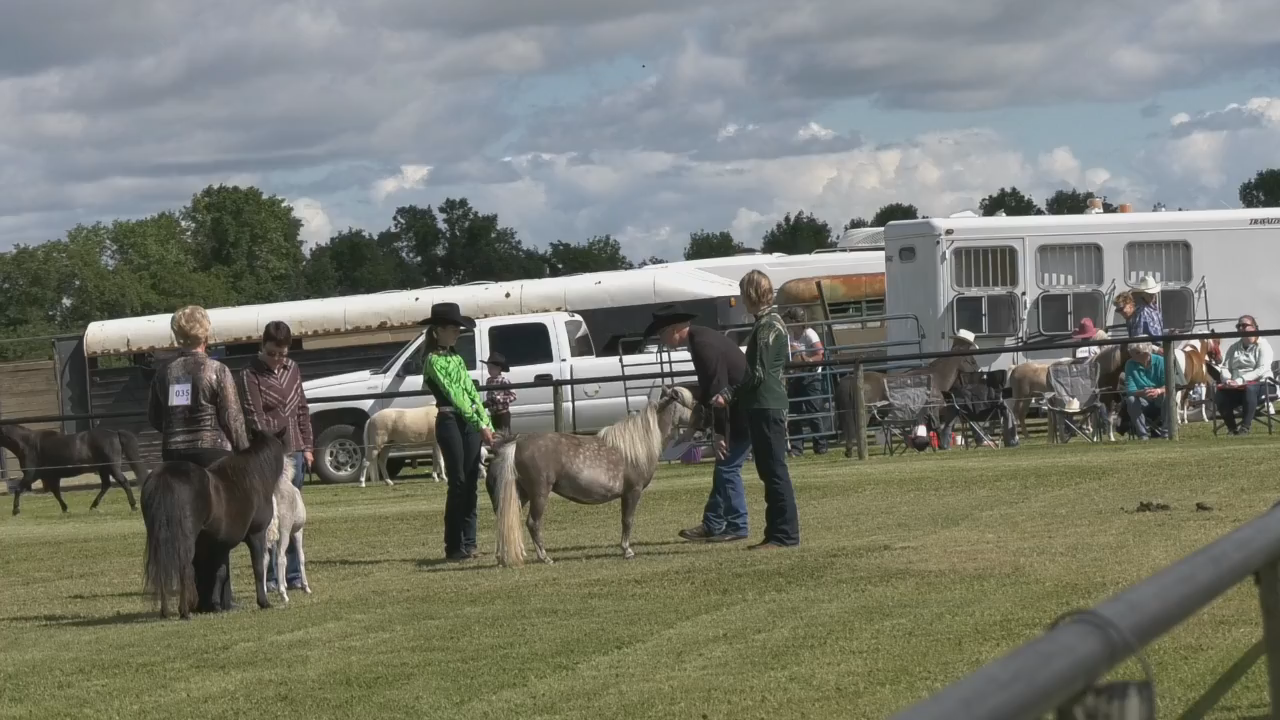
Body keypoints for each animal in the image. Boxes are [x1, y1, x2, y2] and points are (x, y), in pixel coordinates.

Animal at [0, 425, 149, 516]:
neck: (28, 444)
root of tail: (115, 434)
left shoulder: (31, 474)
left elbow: (18, 489)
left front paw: (15, 510)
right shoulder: (52, 476)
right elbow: (56, 493)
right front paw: (65, 509)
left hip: (112, 467)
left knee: (123, 482)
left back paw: (133, 506)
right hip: (103, 469)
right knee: (106, 485)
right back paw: (93, 506)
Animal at [141, 428, 290, 620]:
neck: (255, 475)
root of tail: (164, 476)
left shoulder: (221, 544)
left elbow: (220, 573)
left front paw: (216, 605)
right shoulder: (257, 534)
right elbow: (258, 567)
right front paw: (263, 602)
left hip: (158, 538)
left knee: (162, 568)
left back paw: (166, 611)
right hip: (184, 540)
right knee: (184, 568)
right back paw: (184, 611)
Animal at [264, 467, 311, 605]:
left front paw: (284, 583)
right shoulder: (297, 532)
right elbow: (300, 556)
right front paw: (306, 587)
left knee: (265, 558)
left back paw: (264, 591)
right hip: (285, 532)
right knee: (280, 557)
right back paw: (283, 595)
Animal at [488, 386, 695, 567]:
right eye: (691, 403)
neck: (636, 445)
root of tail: (517, 444)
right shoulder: (632, 492)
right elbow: (627, 520)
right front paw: (627, 551)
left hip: (522, 494)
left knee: (504, 521)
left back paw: (501, 557)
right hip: (539, 493)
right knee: (533, 523)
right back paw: (545, 557)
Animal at [833, 353, 976, 458]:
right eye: (972, 362)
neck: (934, 378)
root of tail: (850, 380)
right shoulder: (932, 411)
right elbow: (935, 427)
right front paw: (940, 445)